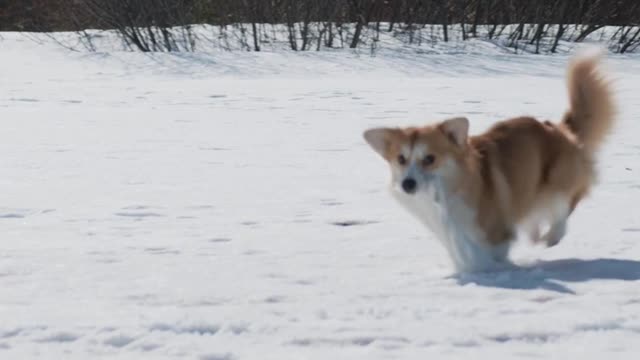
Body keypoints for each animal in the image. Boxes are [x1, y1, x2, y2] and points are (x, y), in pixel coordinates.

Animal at [362, 53, 612, 272]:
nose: (407, 184)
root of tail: (561, 129)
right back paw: (534, 233)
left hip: (558, 180)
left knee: (564, 204)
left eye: (430, 159)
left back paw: (552, 236)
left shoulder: (494, 233)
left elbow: (492, 252)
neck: (453, 190)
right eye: (401, 159)